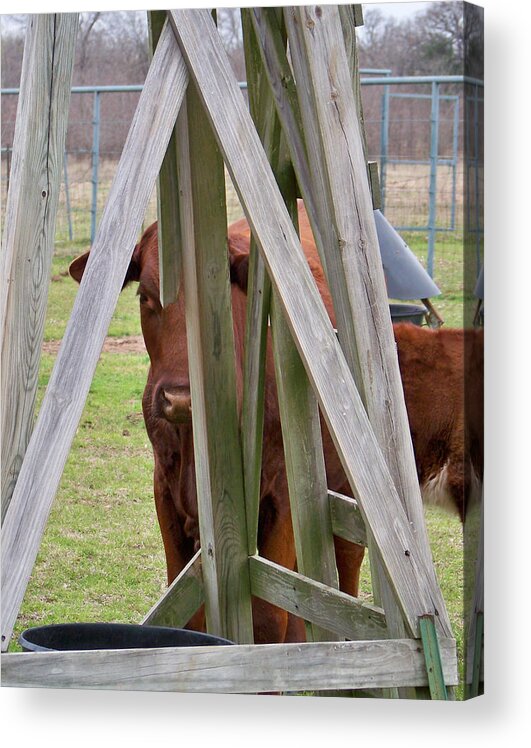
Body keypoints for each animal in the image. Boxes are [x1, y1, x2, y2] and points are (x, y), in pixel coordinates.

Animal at [69, 203, 482, 644]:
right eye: (145, 297)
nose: (179, 397)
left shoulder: (282, 497)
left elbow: (270, 616)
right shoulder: (165, 489)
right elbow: (191, 613)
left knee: (345, 559)